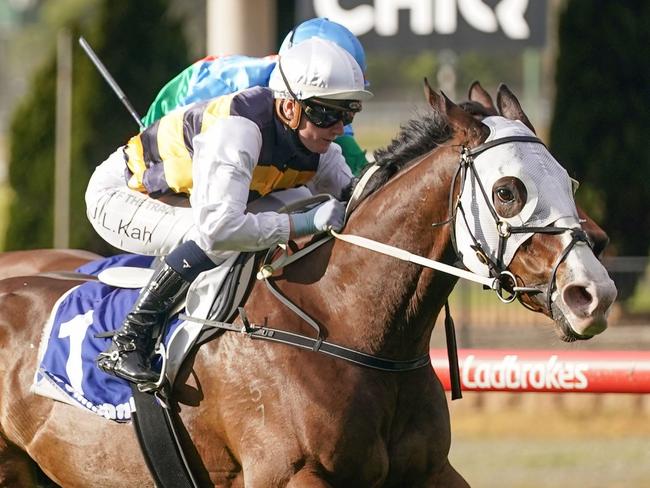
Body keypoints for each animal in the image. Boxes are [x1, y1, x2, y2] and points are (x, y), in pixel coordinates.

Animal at [0, 82, 612, 486]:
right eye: (508, 191)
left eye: (569, 180)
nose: (593, 294)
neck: (345, 326)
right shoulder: (291, 475)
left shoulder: (432, 471)